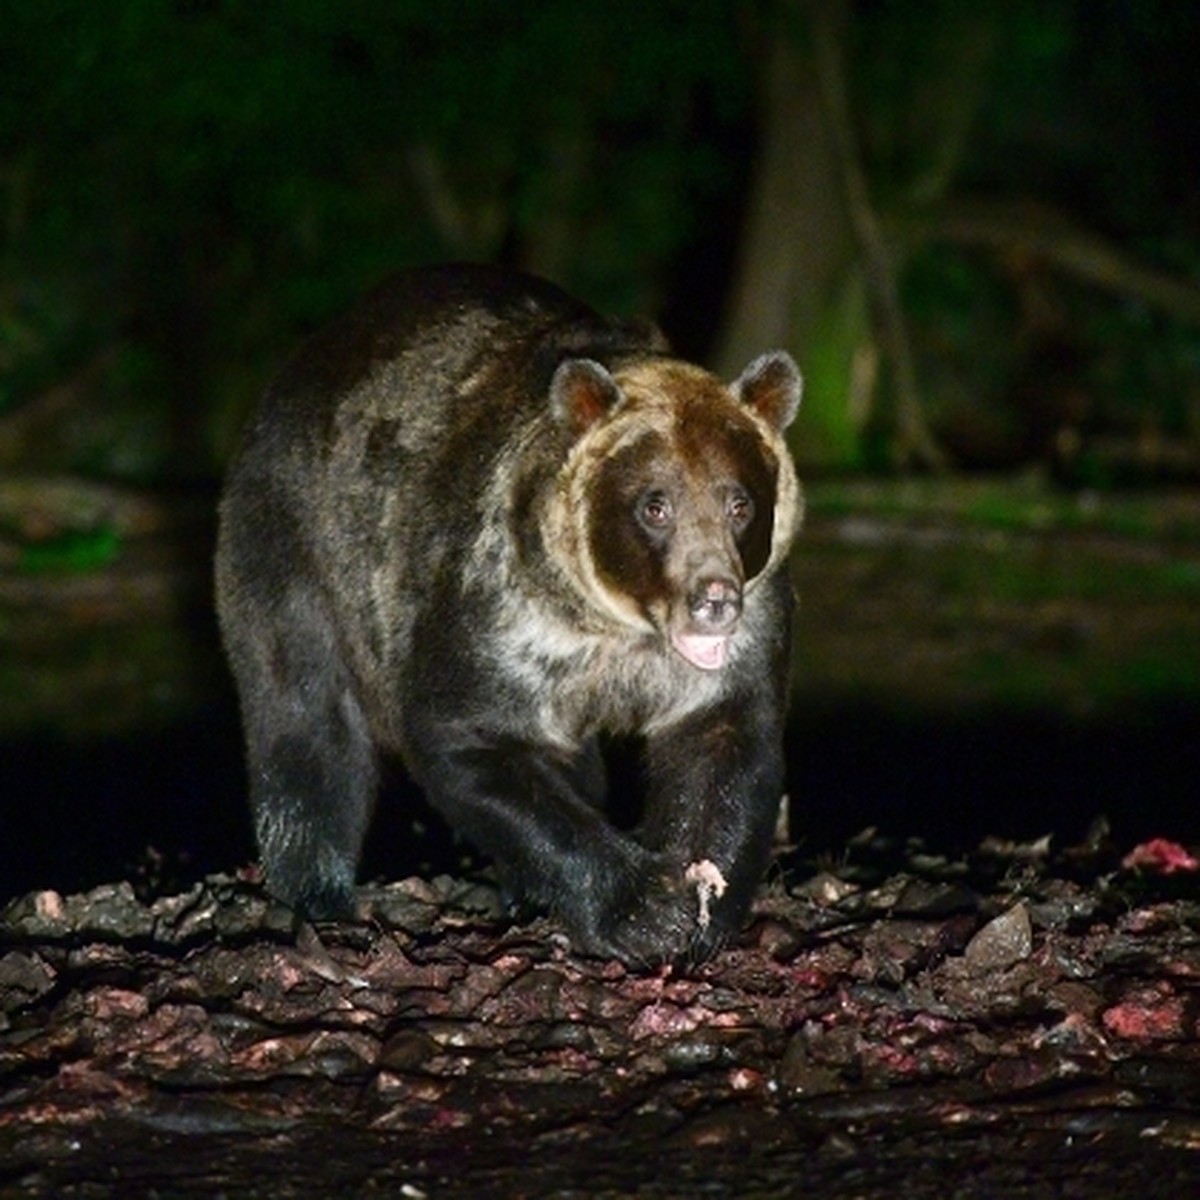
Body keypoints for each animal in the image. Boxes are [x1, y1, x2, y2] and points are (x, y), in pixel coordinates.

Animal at [218, 262, 806, 964]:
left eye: (739, 502)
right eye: (655, 504)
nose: (713, 601)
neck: (614, 629)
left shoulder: (742, 632)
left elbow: (724, 744)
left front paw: (701, 903)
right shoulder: (501, 615)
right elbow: (472, 740)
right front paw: (643, 907)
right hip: (296, 549)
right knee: (306, 723)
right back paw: (317, 894)